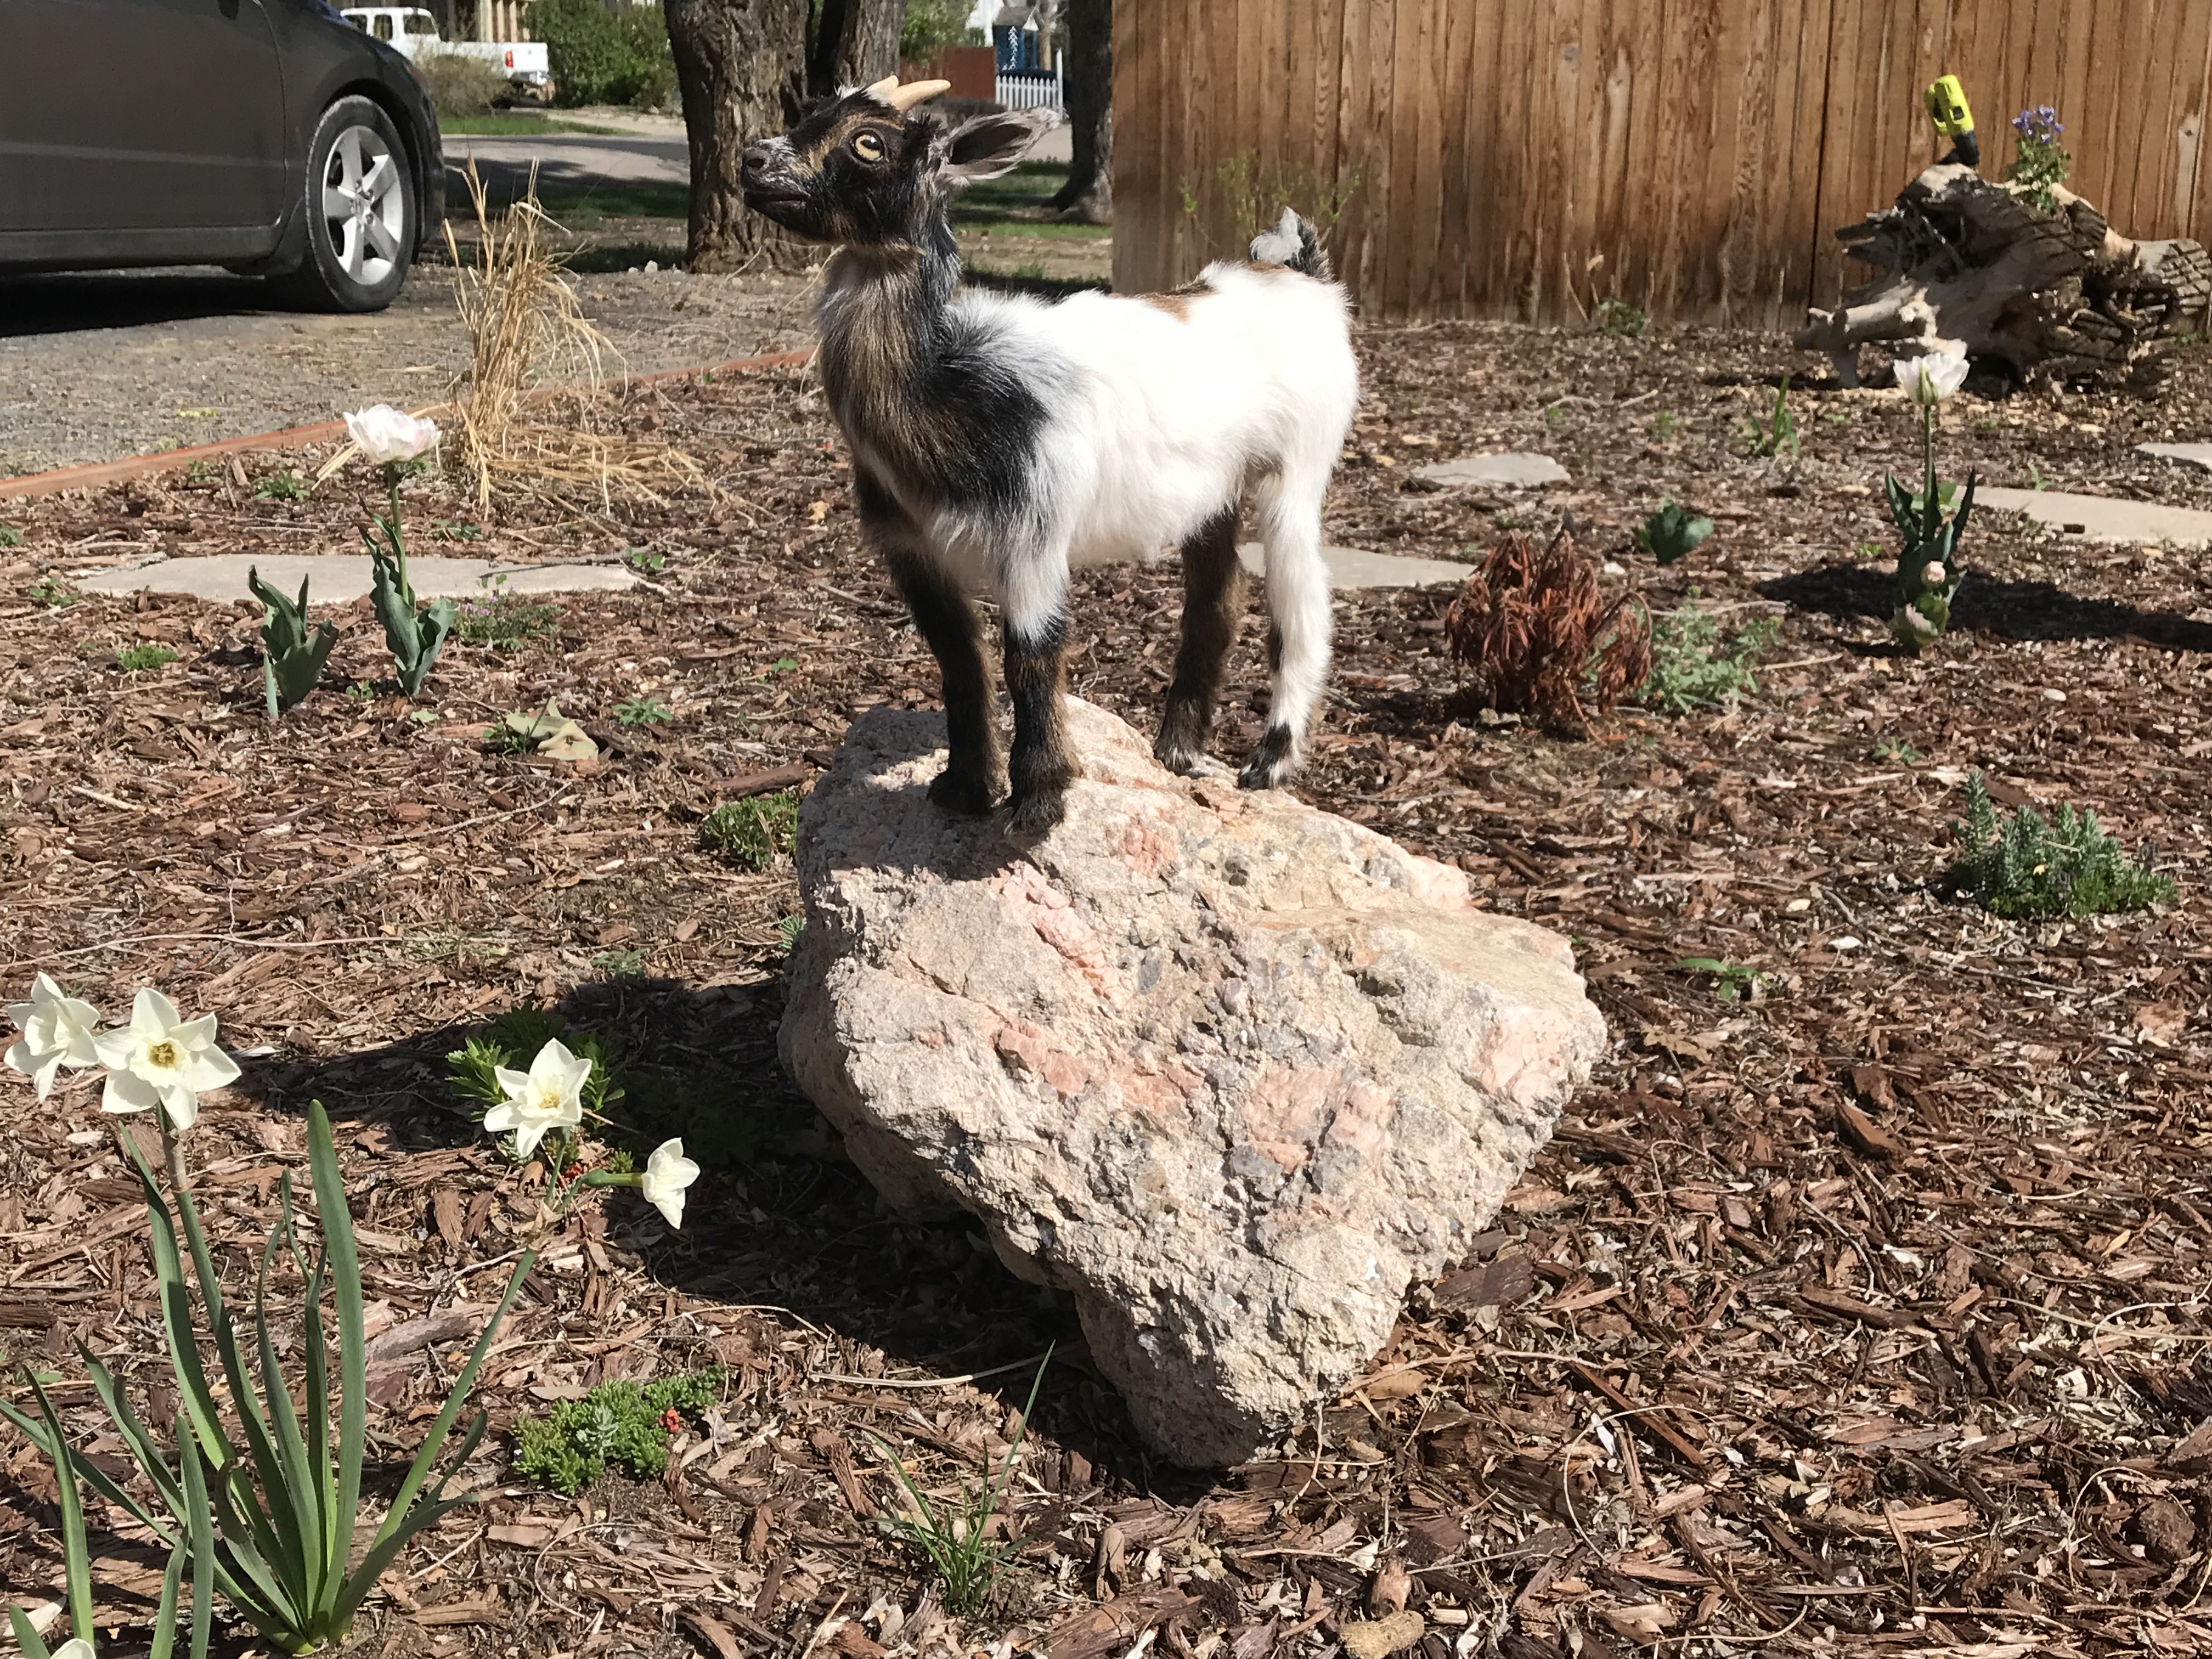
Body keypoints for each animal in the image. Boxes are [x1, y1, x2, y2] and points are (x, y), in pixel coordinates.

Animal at [741, 77, 1359, 834]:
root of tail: (1303, 277)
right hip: (1213, 492)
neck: (954, 377)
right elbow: (959, 660)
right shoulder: (911, 549)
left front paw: (1037, 802)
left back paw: (1268, 761)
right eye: (810, 114)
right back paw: (1176, 751)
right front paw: (963, 787)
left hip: (1298, 466)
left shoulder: (1031, 533)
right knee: (1217, 600)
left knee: (1301, 602)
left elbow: (1030, 655)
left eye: (869, 142)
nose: (753, 161)